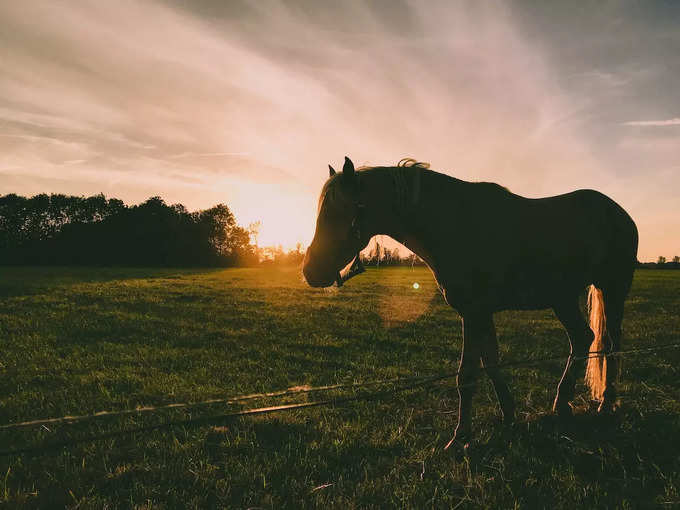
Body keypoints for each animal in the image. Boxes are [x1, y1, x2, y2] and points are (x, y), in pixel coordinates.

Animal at [302, 156, 636, 450]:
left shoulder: (473, 313)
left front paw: (461, 437)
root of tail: (619, 213)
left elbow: (467, 375)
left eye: (337, 213)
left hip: (612, 289)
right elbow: (491, 364)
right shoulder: (480, 314)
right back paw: (562, 403)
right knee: (583, 339)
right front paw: (509, 415)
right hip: (563, 299)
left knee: (610, 344)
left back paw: (605, 402)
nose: (310, 271)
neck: (455, 225)